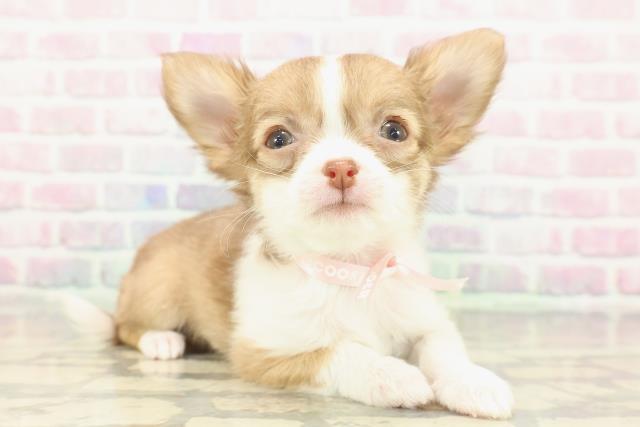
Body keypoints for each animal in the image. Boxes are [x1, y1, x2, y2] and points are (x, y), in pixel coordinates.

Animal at [88, 28, 512, 418]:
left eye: (394, 130)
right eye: (278, 139)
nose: (340, 167)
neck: (352, 269)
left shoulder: (426, 320)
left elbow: (443, 347)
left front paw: (474, 382)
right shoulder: (266, 351)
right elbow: (339, 351)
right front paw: (391, 375)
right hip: (157, 292)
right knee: (125, 327)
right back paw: (161, 341)